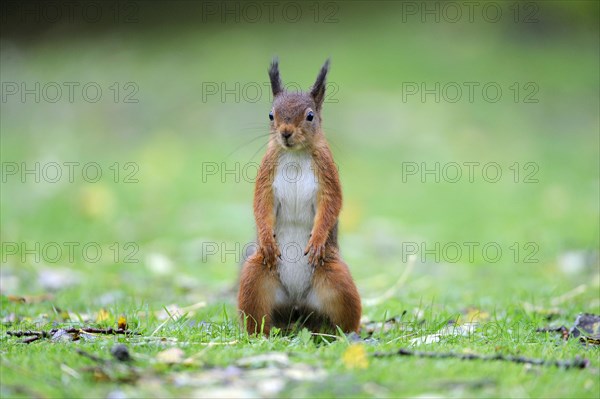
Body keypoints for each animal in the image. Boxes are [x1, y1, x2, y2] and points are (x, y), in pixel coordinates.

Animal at [238, 57, 360, 336]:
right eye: (271, 114)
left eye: (310, 116)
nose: (285, 132)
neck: (295, 154)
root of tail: (296, 304)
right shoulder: (266, 173)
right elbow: (261, 205)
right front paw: (267, 239)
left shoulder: (327, 174)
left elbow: (332, 204)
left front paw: (316, 240)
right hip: (254, 276)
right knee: (257, 318)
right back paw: (260, 336)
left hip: (337, 278)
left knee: (344, 317)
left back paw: (344, 335)